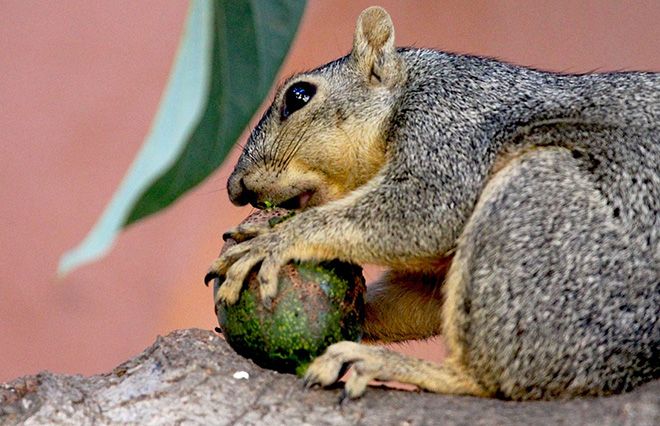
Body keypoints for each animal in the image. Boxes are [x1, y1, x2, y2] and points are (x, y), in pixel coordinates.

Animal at [204, 5, 656, 400]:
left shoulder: (452, 125)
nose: (235, 188)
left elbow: (424, 210)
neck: (407, 90)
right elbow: (422, 294)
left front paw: (274, 241)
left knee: (499, 381)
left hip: (544, 224)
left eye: (299, 95)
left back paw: (396, 366)